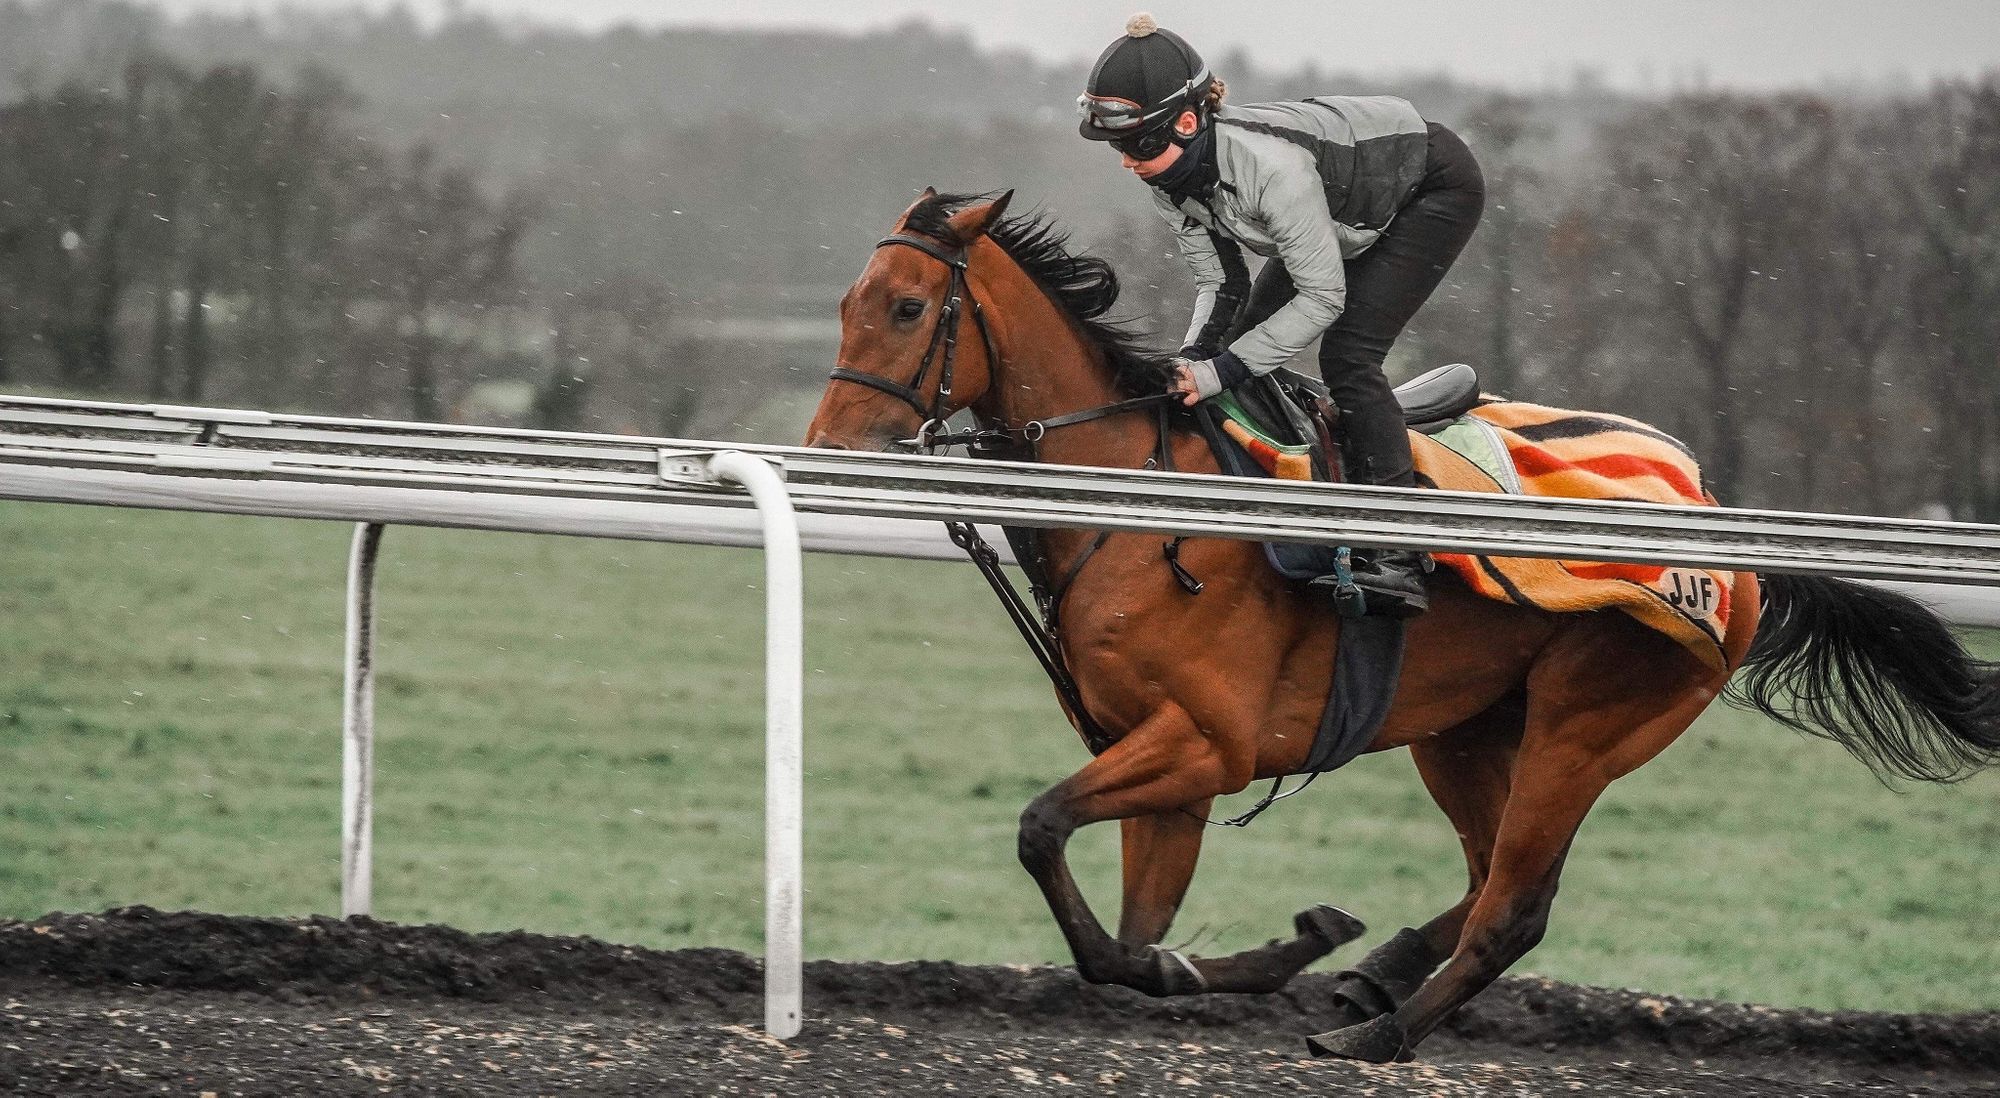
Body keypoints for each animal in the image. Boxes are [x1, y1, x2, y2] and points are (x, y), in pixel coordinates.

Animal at [802, 189, 2000, 1062]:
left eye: (906, 307)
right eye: (848, 298)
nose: (824, 449)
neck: (1146, 503)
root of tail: (1716, 518)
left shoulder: (1204, 743)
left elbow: (1041, 830)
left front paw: (1290, 953)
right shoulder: (1167, 764)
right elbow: (1132, 945)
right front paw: (1290, 947)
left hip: (1586, 723)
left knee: (1516, 905)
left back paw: (1378, 1034)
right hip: (1466, 732)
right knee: (1490, 878)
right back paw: (1373, 979)